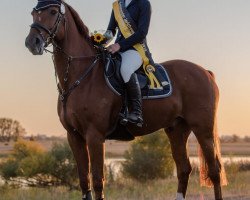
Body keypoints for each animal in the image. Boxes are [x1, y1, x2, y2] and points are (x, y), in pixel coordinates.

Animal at [25, 1, 227, 200]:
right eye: (33, 14)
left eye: (53, 12)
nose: (31, 42)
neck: (81, 75)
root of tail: (205, 72)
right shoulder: (74, 136)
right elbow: (84, 180)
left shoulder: (95, 135)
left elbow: (97, 180)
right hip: (176, 129)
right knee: (184, 168)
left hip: (203, 129)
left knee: (214, 170)